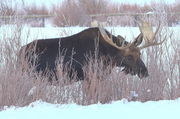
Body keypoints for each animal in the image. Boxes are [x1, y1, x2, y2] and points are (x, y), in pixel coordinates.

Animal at [19, 21, 165, 81]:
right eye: (128, 56)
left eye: (140, 53)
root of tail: (19, 52)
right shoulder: (90, 75)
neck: (108, 57)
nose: (144, 72)